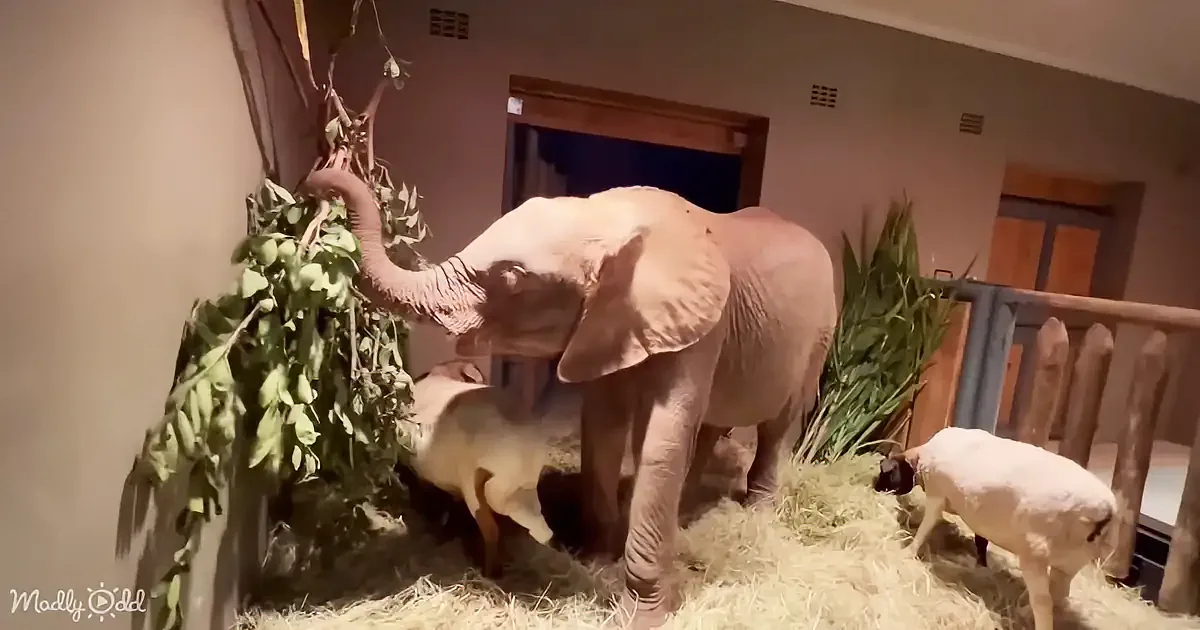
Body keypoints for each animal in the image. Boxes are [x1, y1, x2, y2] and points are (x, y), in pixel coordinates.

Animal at [874, 426, 1116, 630]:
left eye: (887, 473)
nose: (875, 487)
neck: (921, 458)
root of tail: (1104, 509)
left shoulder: (937, 496)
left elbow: (927, 525)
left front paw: (910, 550)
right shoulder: (979, 516)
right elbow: (981, 541)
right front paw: (981, 565)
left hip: (1035, 554)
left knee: (1044, 602)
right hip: (1071, 561)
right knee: (1059, 593)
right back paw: (1024, 610)